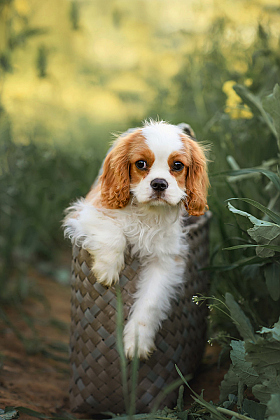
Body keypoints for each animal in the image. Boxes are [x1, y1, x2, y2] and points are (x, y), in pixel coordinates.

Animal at [63, 120, 208, 360]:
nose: (159, 184)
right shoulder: (85, 212)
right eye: (141, 164)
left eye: (177, 166)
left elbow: (150, 302)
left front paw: (137, 342)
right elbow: (114, 233)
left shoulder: (166, 261)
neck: (147, 214)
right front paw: (107, 270)